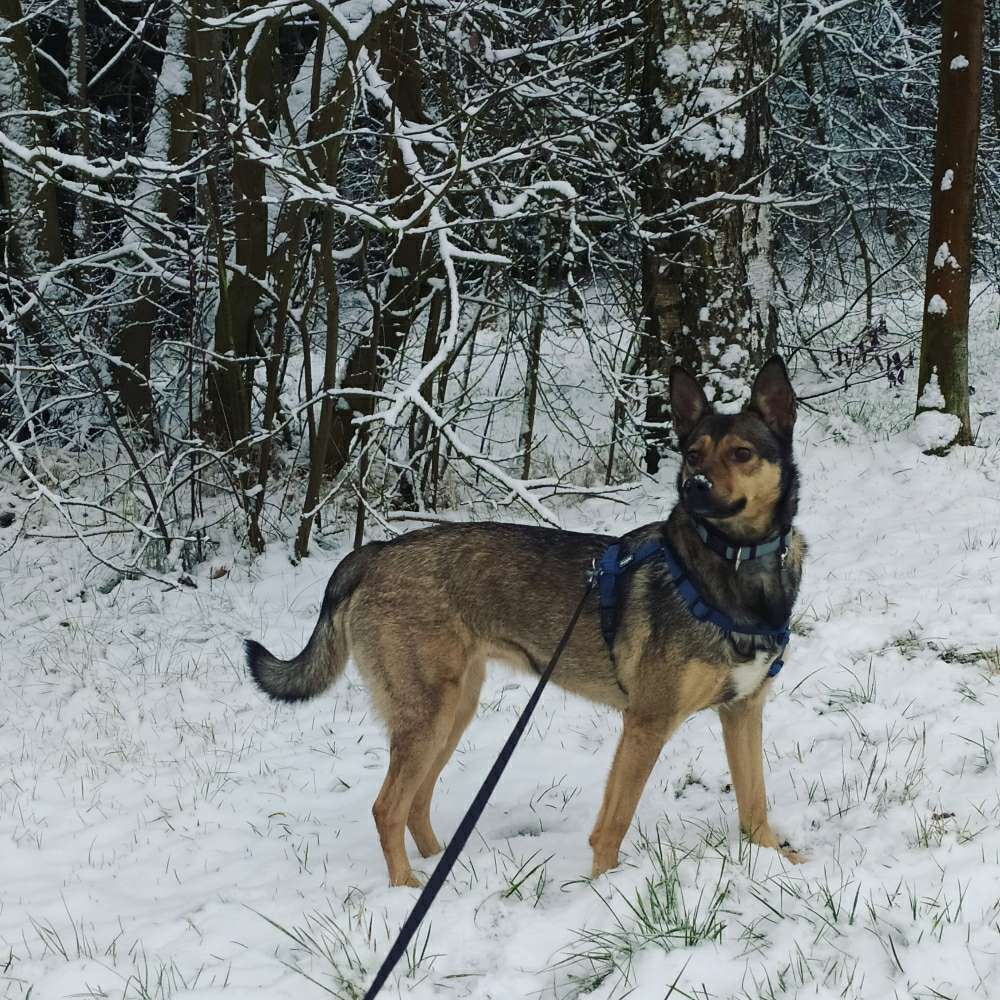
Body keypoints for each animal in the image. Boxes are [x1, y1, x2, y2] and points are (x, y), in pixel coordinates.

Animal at [248, 358, 804, 884]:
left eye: (742, 454)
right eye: (692, 454)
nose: (694, 488)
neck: (733, 572)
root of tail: (375, 552)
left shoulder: (743, 711)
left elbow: (754, 805)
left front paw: (777, 863)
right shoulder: (647, 722)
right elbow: (613, 824)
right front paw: (604, 889)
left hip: (453, 710)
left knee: (416, 803)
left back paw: (440, 868)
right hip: (428, 713)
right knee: (388, 807)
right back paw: (407, 887)